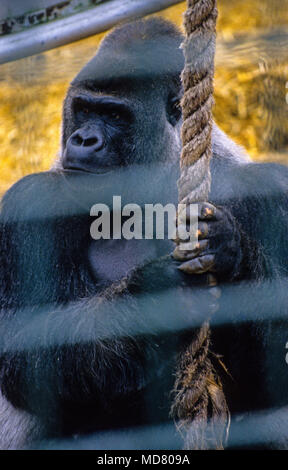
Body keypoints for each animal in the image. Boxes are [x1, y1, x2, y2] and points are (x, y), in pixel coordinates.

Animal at [0, 19, 288, 452]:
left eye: (114, 115)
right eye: (84, 109)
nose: (83, 140)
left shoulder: (272, 192)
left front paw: (229, 252)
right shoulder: (28, 204)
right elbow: (25, 348)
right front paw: (155, 295)